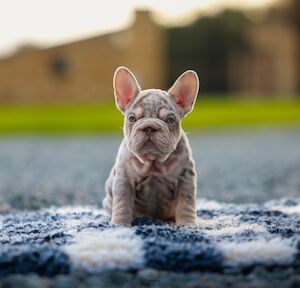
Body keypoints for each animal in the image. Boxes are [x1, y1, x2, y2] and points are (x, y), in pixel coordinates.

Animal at [103, 66, 199, 226]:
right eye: (132, 118)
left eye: (170, 120)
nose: (149, 127)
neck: (153, 161)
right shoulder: (124, 179)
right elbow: (122, 204)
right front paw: (120, 224)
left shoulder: (185, 178)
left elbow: (185, 202)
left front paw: (187, 223)